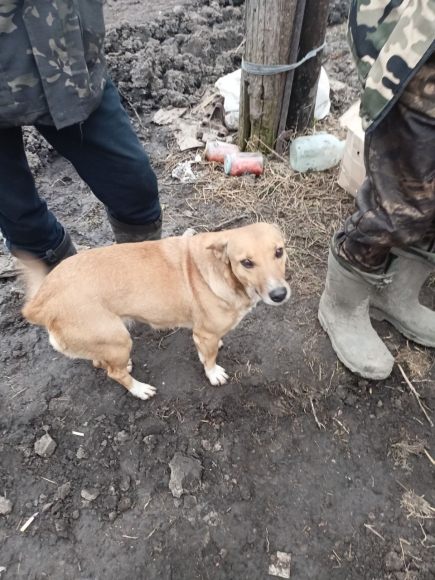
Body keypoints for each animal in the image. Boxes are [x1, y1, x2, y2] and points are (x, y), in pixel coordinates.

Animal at [22, 221, 292, 398]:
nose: (279, 294)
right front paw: (213, 373)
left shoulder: (202, 335)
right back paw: (140, 389)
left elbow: (206, 350)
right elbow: (210, 359)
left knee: (102, 363)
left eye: (279, 252)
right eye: (246, 263)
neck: (224, 272)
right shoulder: (205, 334)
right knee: (114, 374)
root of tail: (42, 301)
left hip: (106, 341)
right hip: (119, 339)